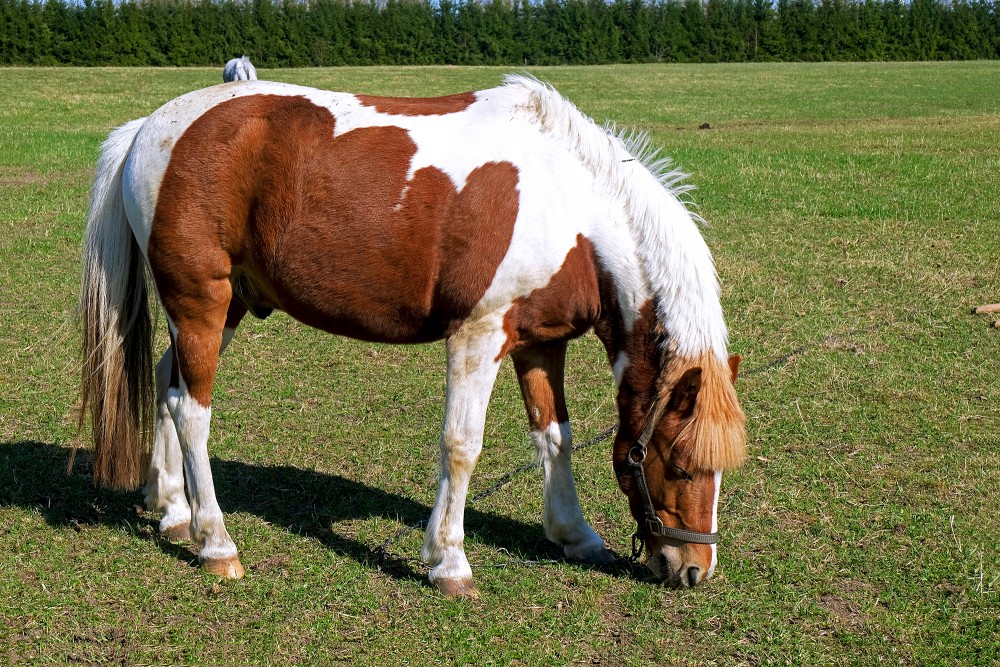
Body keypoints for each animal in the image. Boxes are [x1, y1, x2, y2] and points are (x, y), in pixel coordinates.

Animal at [82, 74, 748, 596]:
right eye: (681, 463)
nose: (694, 569)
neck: (570, 207)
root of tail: (148, 129)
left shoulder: (540, 342)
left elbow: (554, 436)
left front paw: (576, 535)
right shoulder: (478, 336)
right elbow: (462, 445)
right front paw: (448, 562)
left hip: (227, 309)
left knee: (168, 385)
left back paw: (172, 509)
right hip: (201, 301)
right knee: (191, 411)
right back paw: (216, 543)